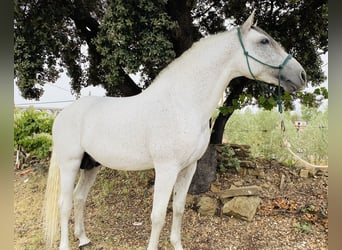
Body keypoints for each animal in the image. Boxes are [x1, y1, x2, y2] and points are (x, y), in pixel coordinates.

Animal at [43, 12, 308, 250]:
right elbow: (158, 215)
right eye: (264, 41)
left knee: (79, 198)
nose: (302, 75)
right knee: (64, 204)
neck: (183, 103)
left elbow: (179, 209)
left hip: (91, 165)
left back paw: (84, 239)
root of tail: (62, 114)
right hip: (70, 164)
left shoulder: (188, 168)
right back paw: (66, 245)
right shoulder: (166, 168)